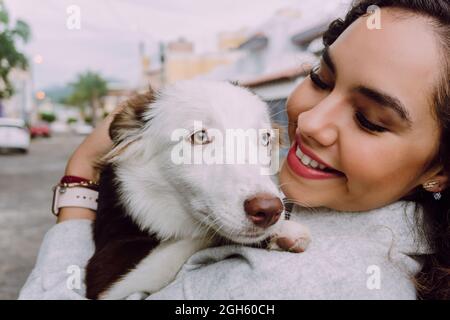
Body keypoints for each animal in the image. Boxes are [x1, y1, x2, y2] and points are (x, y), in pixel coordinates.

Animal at [84, 80, 312, 300]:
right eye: (200, 137)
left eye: (265, 139)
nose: (269, 211)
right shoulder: (105, 276)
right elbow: (203, 236)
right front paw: (284, 231)